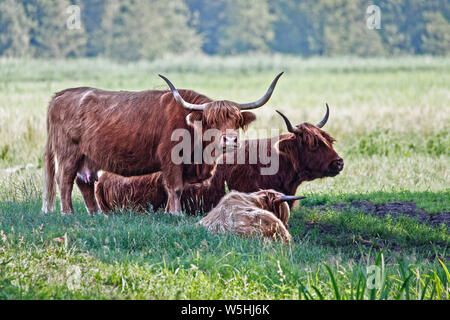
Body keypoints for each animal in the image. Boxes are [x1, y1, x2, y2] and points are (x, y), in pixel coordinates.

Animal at [41, 73, 282, 215]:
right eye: (211, 121)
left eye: (236, 120)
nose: (230, 139)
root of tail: (61, 95)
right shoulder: (171, 158)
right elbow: (174, 187)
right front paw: (176, 214)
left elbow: (174, 189)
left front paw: (168, 212)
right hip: (68, 153)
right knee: (64, 181)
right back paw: (68, 213)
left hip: (87, 158)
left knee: (84, 183)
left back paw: (97, 215)